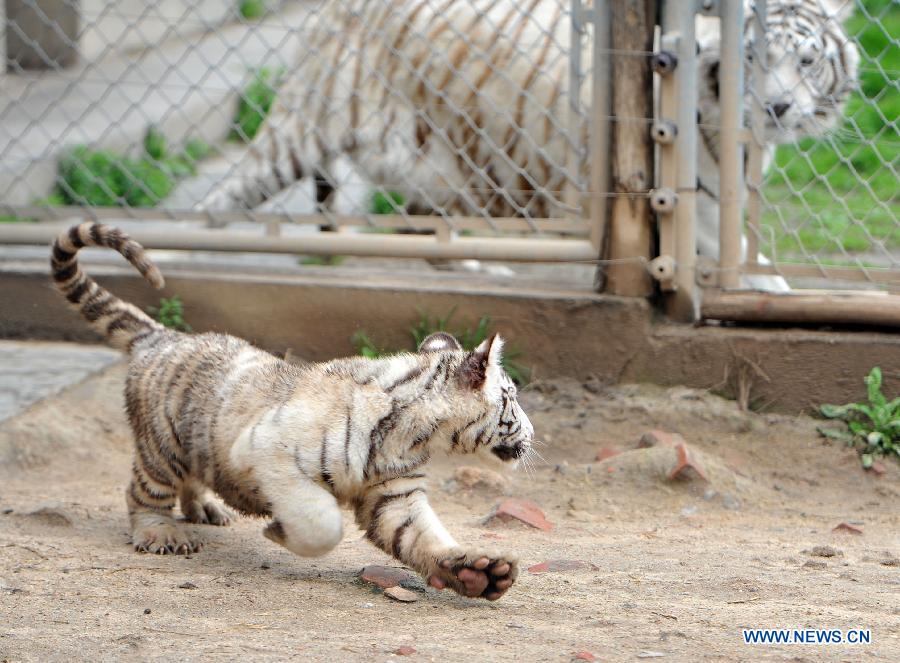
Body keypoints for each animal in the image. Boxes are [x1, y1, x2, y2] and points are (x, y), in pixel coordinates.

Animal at [200, 0, 860, 290]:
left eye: (806, 62)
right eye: (753, 60)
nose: (777, 107)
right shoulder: (688, 197)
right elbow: (749, 262)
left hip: (447, 167)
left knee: (424, 227)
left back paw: (480, 264)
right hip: (302, 131)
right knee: (217, 201)